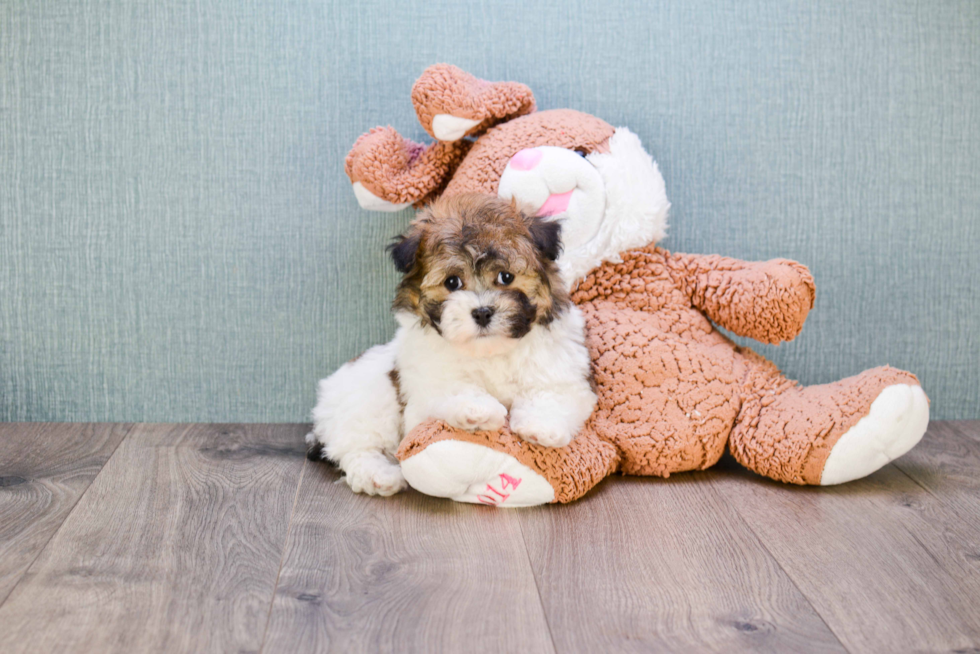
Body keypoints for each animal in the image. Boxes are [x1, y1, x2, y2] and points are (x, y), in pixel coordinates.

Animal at [308, 195, 596, 498]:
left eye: (506, 277)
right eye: (452, 282)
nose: (482, 312)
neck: (490, 352)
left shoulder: (559, 371)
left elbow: (551, 395)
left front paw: (540, 427)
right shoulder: (427, 385)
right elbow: (454, 387)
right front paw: (478, 411)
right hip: (365, 405)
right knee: (357, 450)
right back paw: (379, 476)